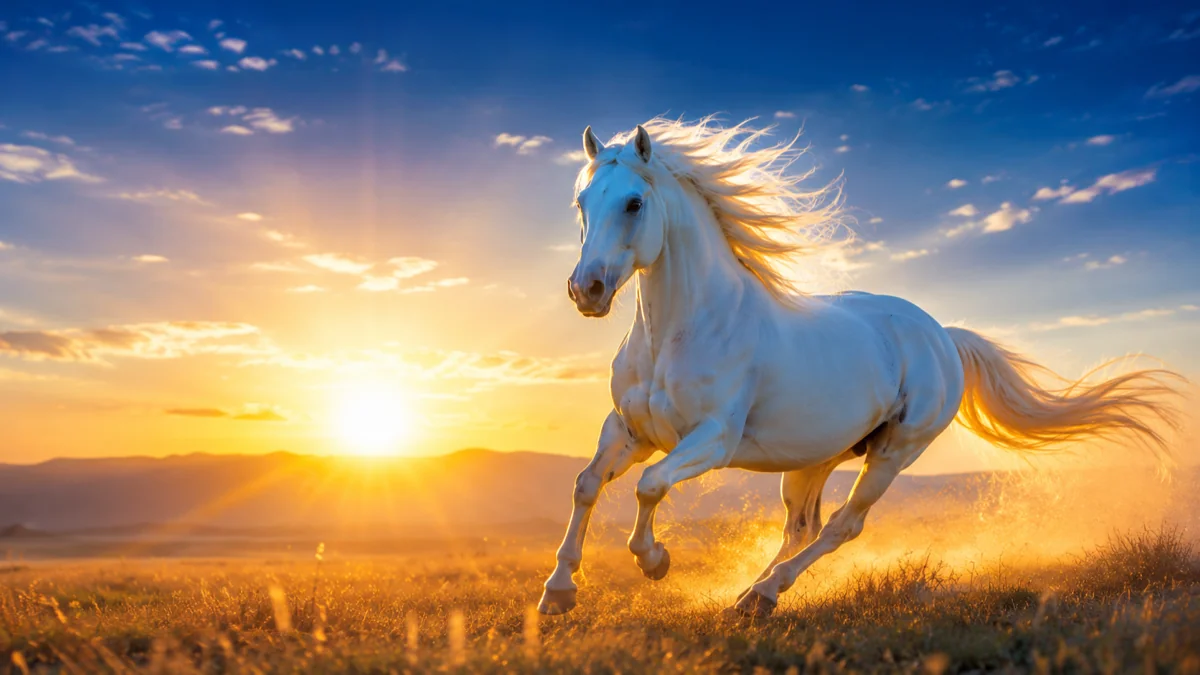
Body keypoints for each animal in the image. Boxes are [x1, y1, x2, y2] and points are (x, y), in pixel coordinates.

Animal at [537, 116, 1178, 618]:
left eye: (634, 202)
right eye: (581, 203)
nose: (586, 290)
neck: (684, 328)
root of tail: (941, 336)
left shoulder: (711, 440)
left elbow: (649, 486)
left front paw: (654, 561)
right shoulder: (630, 430)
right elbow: (586, 484)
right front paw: (558, 592)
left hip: (895, 452)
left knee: (845, 525)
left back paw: (764, 595)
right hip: (813, 458)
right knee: (802, 527)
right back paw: (748, 595)